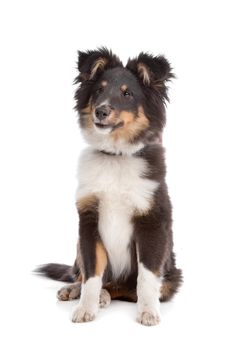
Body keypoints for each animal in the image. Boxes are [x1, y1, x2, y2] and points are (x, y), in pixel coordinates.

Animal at [36, 47, 182, 326]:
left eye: (127, 94)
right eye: (99, 91)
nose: (101, 111)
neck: (116, 156)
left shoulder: (151, 221)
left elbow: (146, 277)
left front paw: (148, 311)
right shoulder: (88, 220)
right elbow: (92, 273)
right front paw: (86, 307)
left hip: (172, 270)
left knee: (130, 288)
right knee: (87, 275)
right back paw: (79, 291)